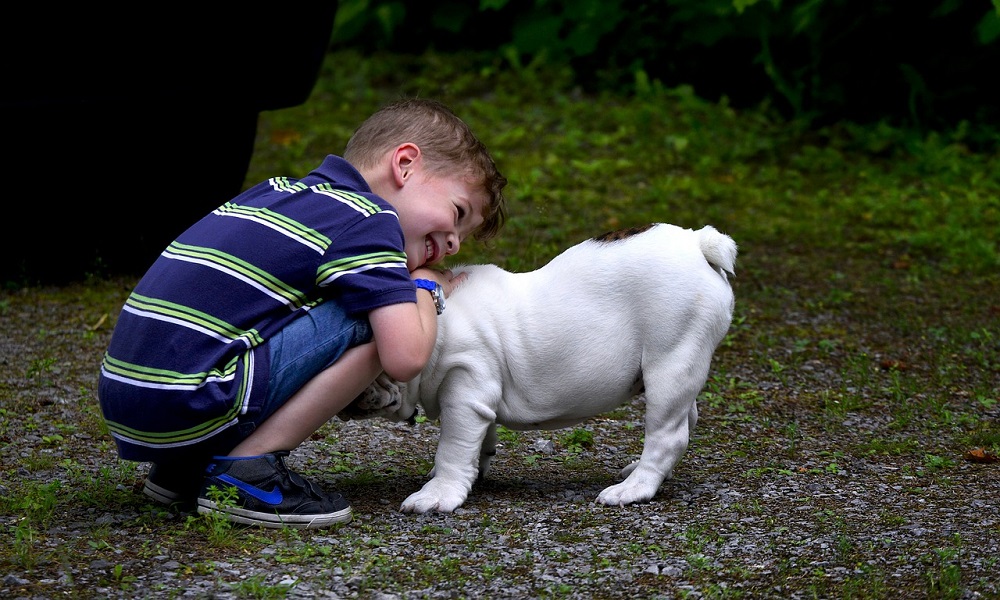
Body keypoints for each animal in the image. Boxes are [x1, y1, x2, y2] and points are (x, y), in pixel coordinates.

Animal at [344, 223, 736, 512]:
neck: (433, 322)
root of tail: (698, 242)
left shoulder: (464, 390)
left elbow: (453, 448)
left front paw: (438, 493)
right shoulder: (478, 399)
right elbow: (479, 440)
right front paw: (476, 469)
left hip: (671, 360)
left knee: (667, 434)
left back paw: (633, 488)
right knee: (686, 417)